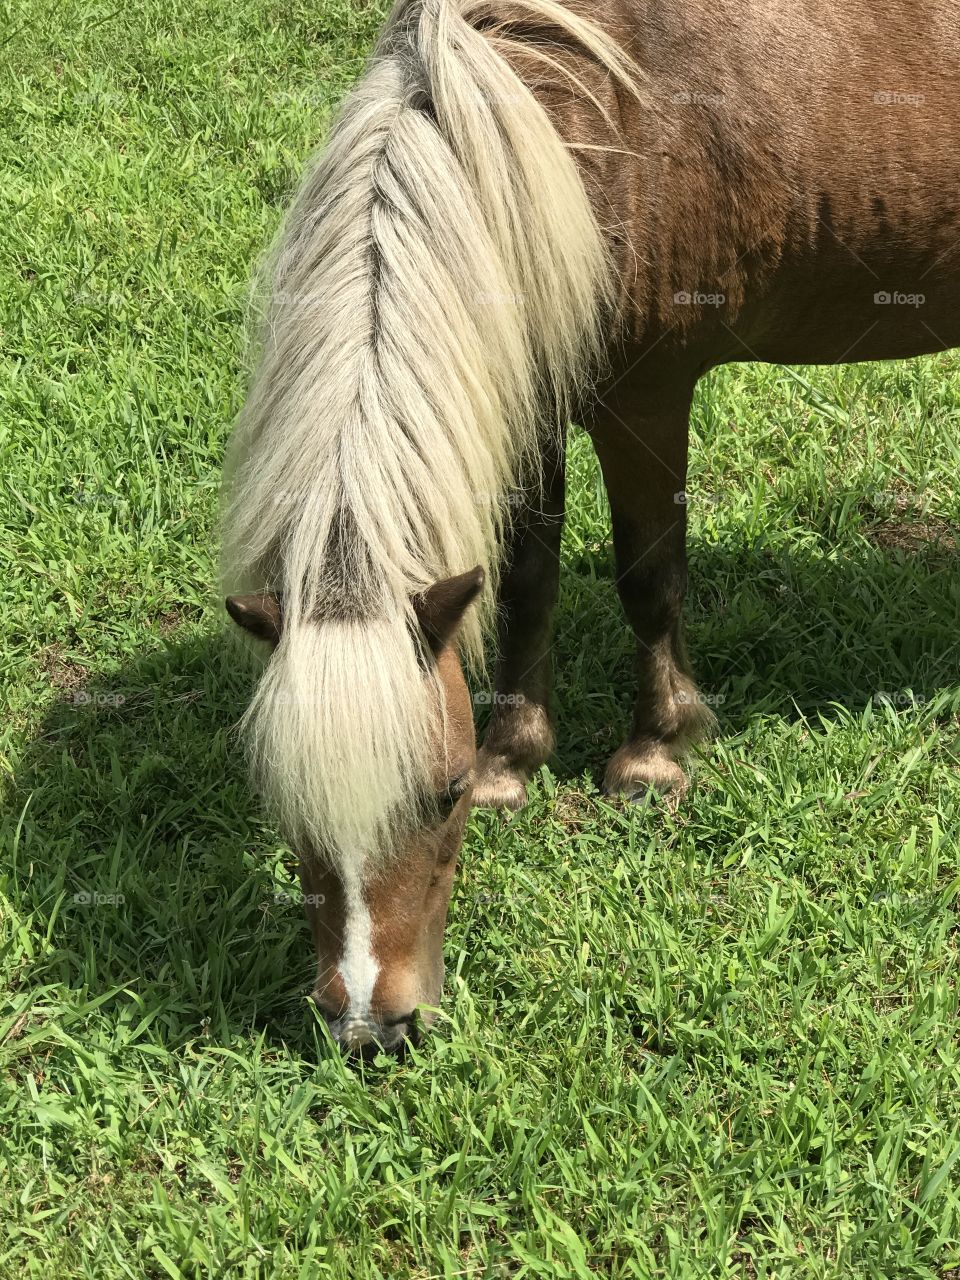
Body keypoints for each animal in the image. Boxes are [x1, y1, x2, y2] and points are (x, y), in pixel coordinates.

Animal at [221, 0, 960, 1053]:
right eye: (288, 808)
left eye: (439, 794)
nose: (371, 1025)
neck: (574, 125)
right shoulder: (533, 389)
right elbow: (529, 578)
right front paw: (516, 755)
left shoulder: (644, 397)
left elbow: (647, 576)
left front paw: (654, 754)